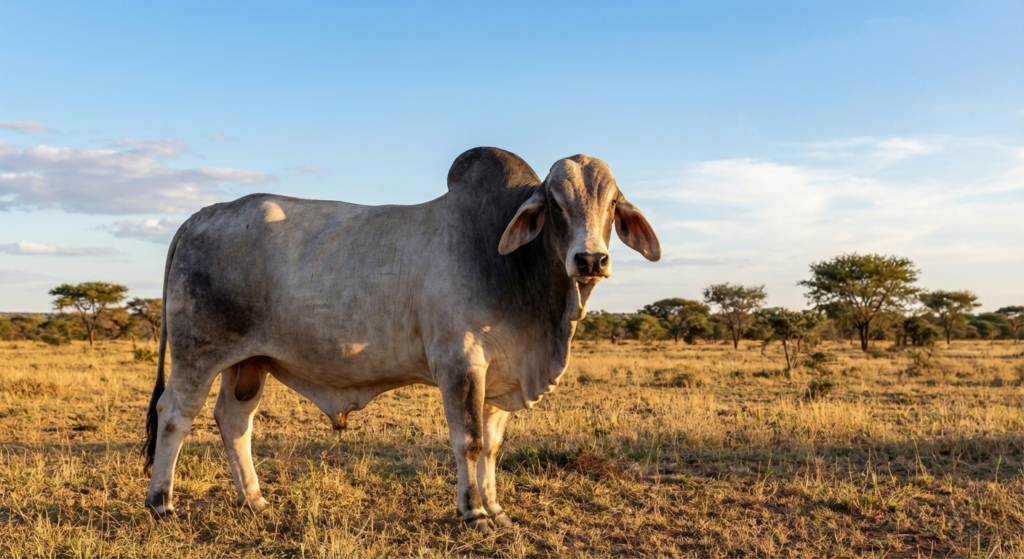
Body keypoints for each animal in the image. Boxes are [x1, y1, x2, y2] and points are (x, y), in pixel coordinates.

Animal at [143, 147, 660, 530]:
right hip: (198, 353)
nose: (590, 260)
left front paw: (497, 510)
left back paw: (254, 500)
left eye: (613, 202)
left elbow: (492, 447)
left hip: (248, 362)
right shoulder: (459, 362)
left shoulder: (501, 375)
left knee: (234, 421)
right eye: (555, 204)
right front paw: (473, 511)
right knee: (174, 415)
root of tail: (201, 214)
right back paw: (161, 502)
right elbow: (469, 441)